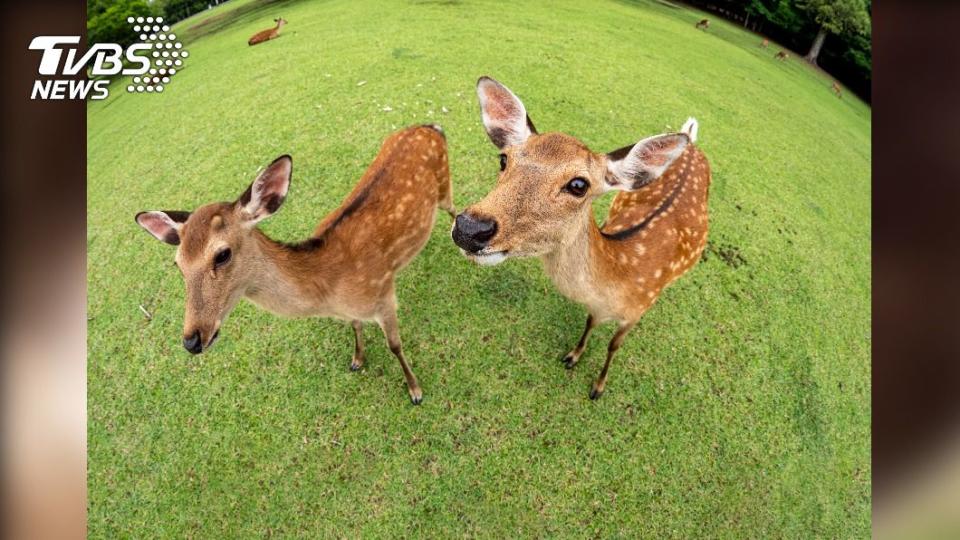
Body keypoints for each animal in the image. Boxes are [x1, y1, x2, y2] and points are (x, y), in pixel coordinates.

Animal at [135, 124, 458, 402]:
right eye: (178, 264)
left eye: (222, 254)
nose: (191, 341)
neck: (330, 291)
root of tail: (431, 127)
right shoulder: (353, 310)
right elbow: (355, 325)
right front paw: (357, 360)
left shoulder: (384, 295)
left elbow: (394, 346)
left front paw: (415, 390)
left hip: (445, 186)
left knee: (455, 212)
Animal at [452, 76, 712, 398]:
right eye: (503, 159)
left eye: (578, 185)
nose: (469, 228)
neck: (619, 280)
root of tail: (692, 143)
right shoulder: (596, 309)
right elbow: (589, 322)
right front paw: (572, 356)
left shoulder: (638, 311)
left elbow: (614, 345)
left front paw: (598, 387)